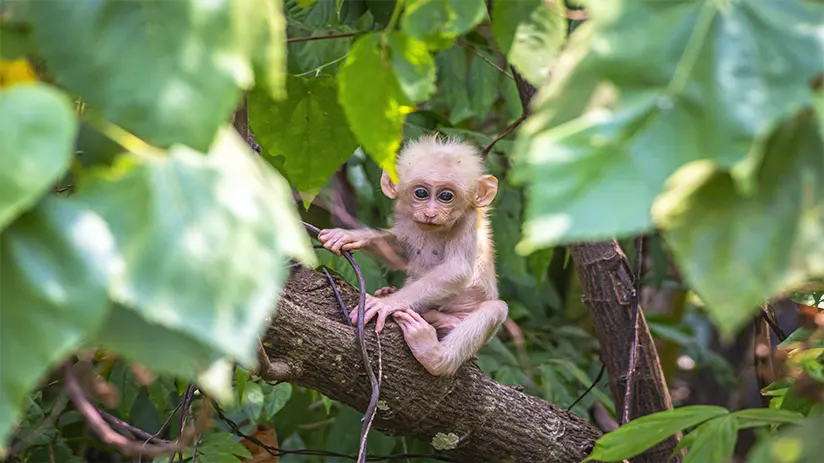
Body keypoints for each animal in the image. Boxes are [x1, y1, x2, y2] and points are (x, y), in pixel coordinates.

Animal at [317, 134, 507, 376]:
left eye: (446, 196)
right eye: (421, 193)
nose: (430, 213)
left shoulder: (469, 221)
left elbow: (458, 269)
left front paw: (387, 304)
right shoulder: (405, 214)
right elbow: (400, 253)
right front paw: (352, 236)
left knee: (495, 308)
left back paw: (433, 355)